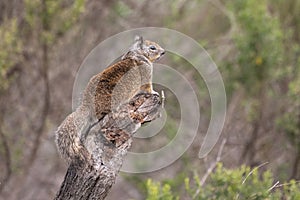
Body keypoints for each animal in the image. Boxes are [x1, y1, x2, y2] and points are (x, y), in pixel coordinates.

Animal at [55, 36, 165, 164]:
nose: (163, 52)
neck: (137, 55)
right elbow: (148, 87)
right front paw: (154, 92)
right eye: (152, 48)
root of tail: (87, 104)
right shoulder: (146, 73)